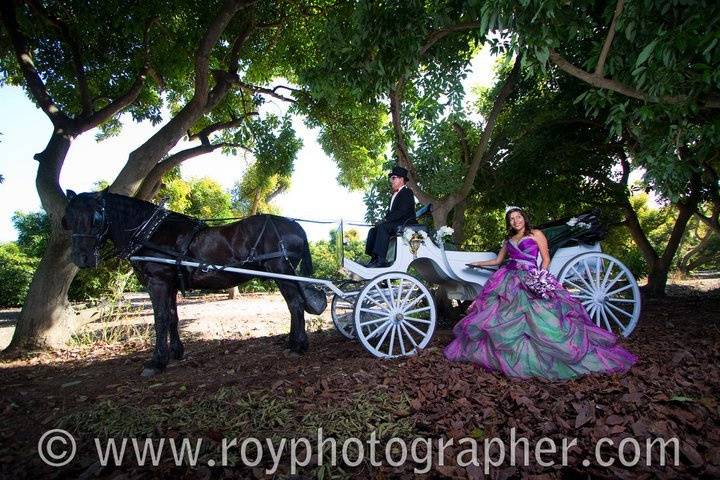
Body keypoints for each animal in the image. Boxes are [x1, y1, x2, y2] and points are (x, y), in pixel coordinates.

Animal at [63, 189, 322, 376]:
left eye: (96, 218)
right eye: (68, 219)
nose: (82, 258)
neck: (150, 232)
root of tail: (296, 225)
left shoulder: (157, 283)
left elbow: (160, 319)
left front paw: (156, 362)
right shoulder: (170, 285)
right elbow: (172, 318)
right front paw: (176, 352)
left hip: (281, 271)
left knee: (295, 305)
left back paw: (298, 346)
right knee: (293, 305)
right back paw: (291, 342)